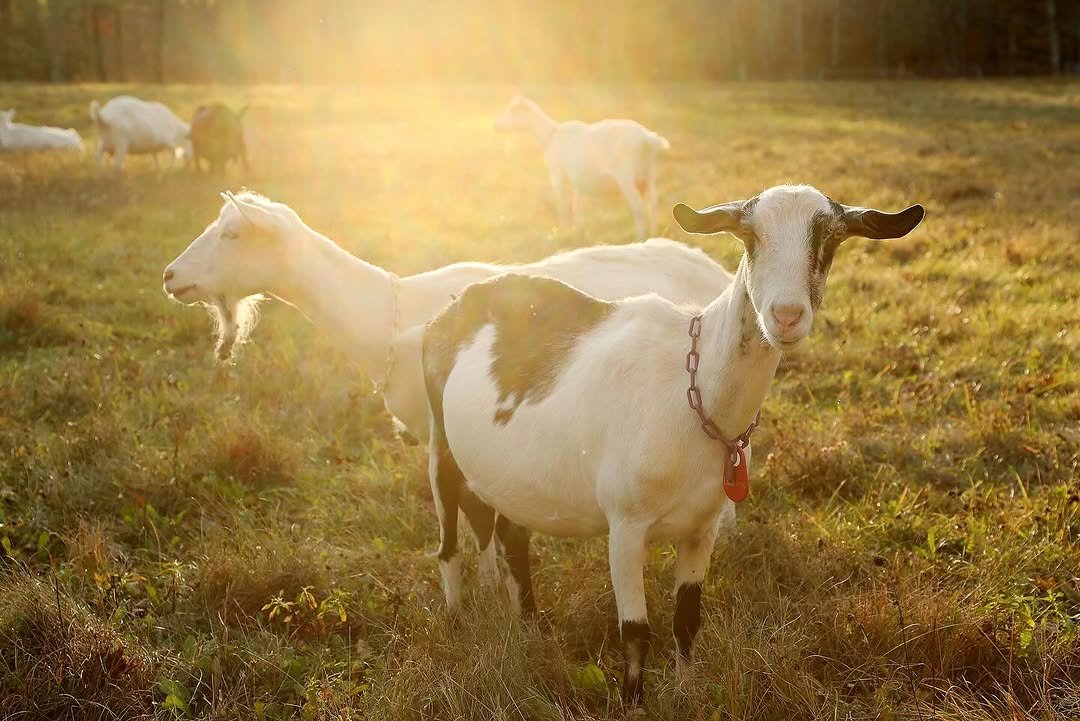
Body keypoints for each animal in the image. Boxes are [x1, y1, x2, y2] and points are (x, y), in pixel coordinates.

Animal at [422, 185, 924, 706]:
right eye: (750, 237)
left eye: (829, 240)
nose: (785, 316)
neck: (694, 393)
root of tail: (459, 304)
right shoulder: (625, 526)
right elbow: (635, 633)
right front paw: (632, 704)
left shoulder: (702, 527)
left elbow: (687, 620)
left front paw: (687, 693)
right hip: (440, 443)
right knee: (448, 541)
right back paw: (458, 621)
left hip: (514, 476)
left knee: (510, 536)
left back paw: (529, 633)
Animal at [495, 95, 670, 241]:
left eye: (512, 110)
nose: (497, 126)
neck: (550, 136)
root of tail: (646, 138)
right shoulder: (577, 181)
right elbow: (576, 207)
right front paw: (577, 231)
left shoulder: (557, 176)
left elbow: (563, 205)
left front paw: (563, 230)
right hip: (649, 174)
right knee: (654, 205)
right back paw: (655, 235)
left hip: (625, 177)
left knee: (638, 208)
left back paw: (640, 239)